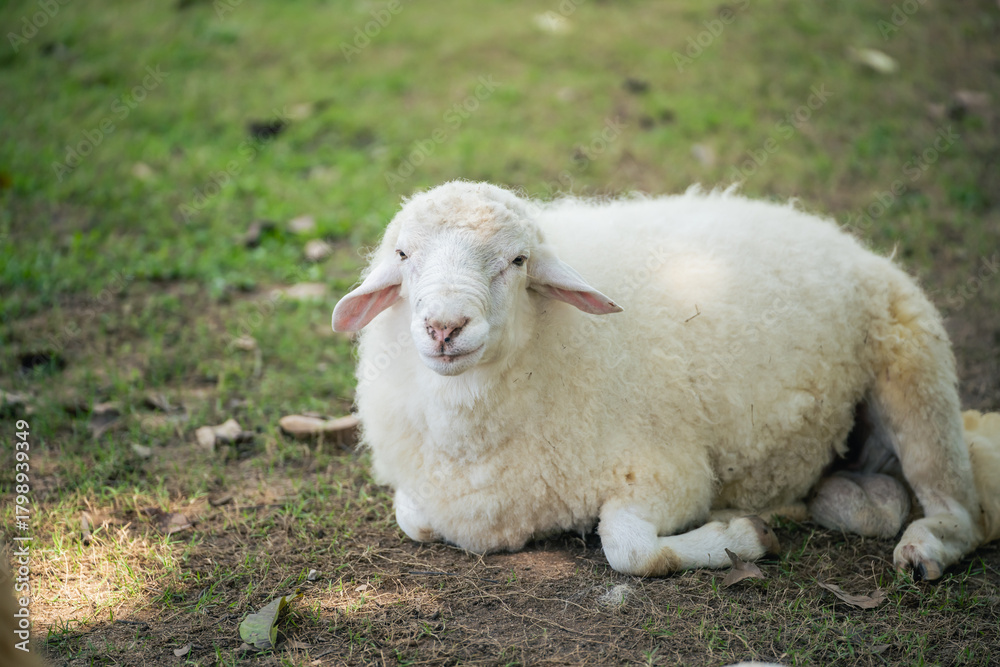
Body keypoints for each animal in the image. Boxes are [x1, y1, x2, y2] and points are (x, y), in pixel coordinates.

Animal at [332, 180, 1000, 579]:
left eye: (517, 261)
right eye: (403, 256)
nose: (445, 327)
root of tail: (837, 236)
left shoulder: (668, 475)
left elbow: (627, 550)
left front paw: (741, 538)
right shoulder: (429, 495)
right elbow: (412, 519)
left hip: (913, 361)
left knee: (961, 512)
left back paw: (923, 548)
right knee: (878, 502)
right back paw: (850, 498)